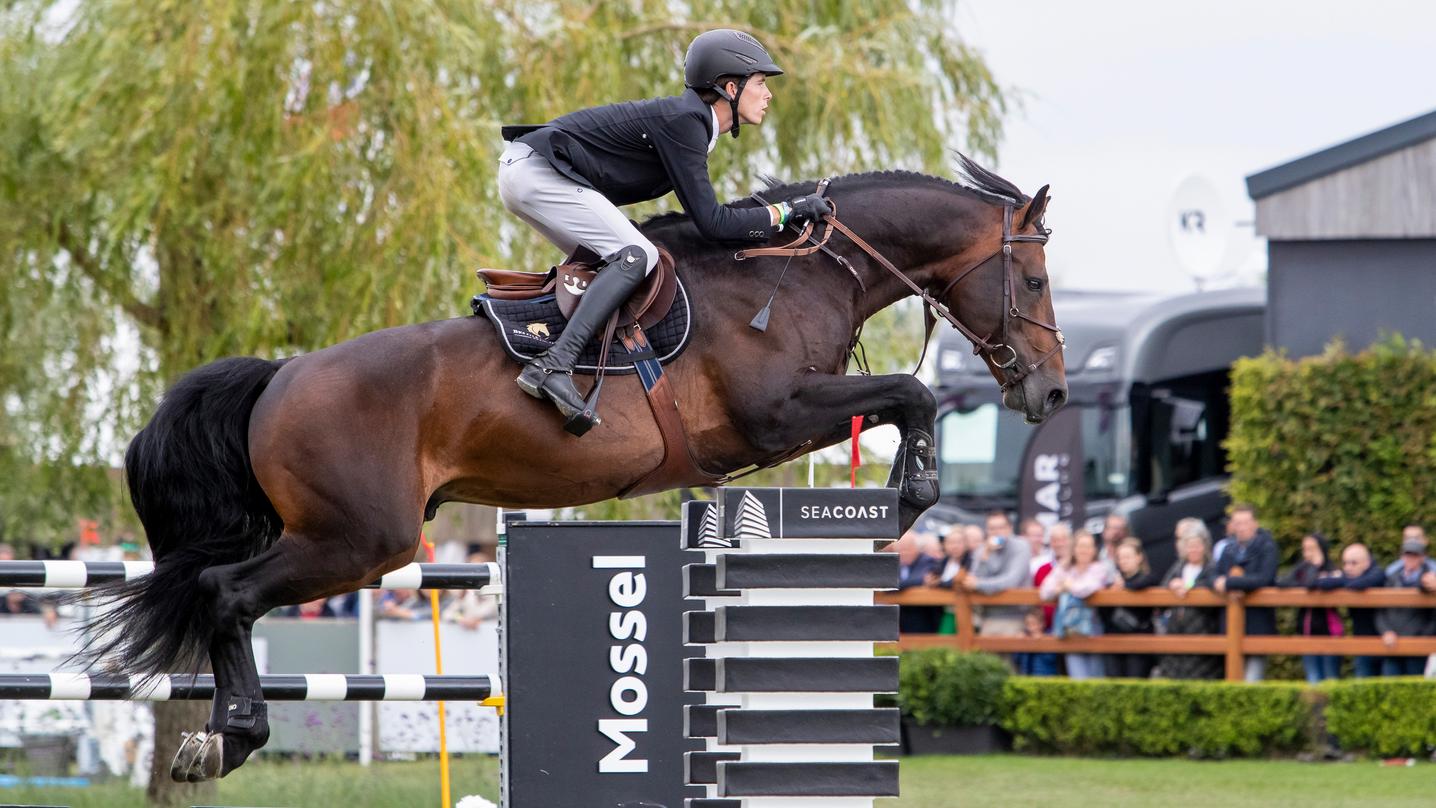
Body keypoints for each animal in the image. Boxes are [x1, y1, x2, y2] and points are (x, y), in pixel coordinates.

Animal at [89, 154, 1068, 780]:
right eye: (1038, 280)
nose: (1051, 391)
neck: (793, 276)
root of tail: (281, 375)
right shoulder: (774, 418)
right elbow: (913, 394)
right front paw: (907, 503)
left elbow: (904, 399)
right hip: (357, 541)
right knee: (224, 593)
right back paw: (227, 739)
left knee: (220, 592)